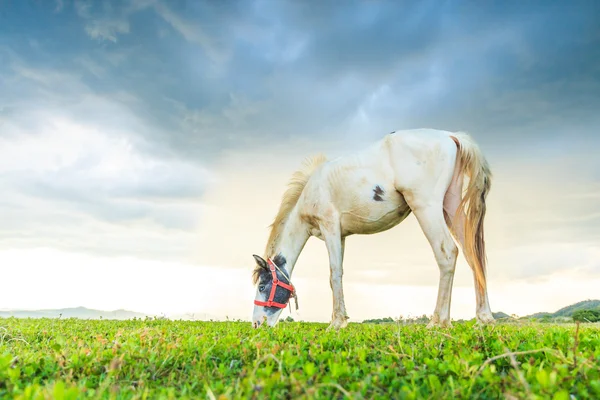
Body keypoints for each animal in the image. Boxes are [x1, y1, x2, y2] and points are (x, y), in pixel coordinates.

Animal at [251, 130, 490, 330]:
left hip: (427, 208)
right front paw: (341, 320)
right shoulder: (340, 236)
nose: (256, 324)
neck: (312, 191)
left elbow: (334, 274)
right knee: (472, 255)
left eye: (262, 286)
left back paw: (438, 321)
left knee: (448, 253)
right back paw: (484, 317)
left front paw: (336, 323)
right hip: (450, 208)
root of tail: (450, 136)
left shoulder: (330, 228)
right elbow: (338, 274)